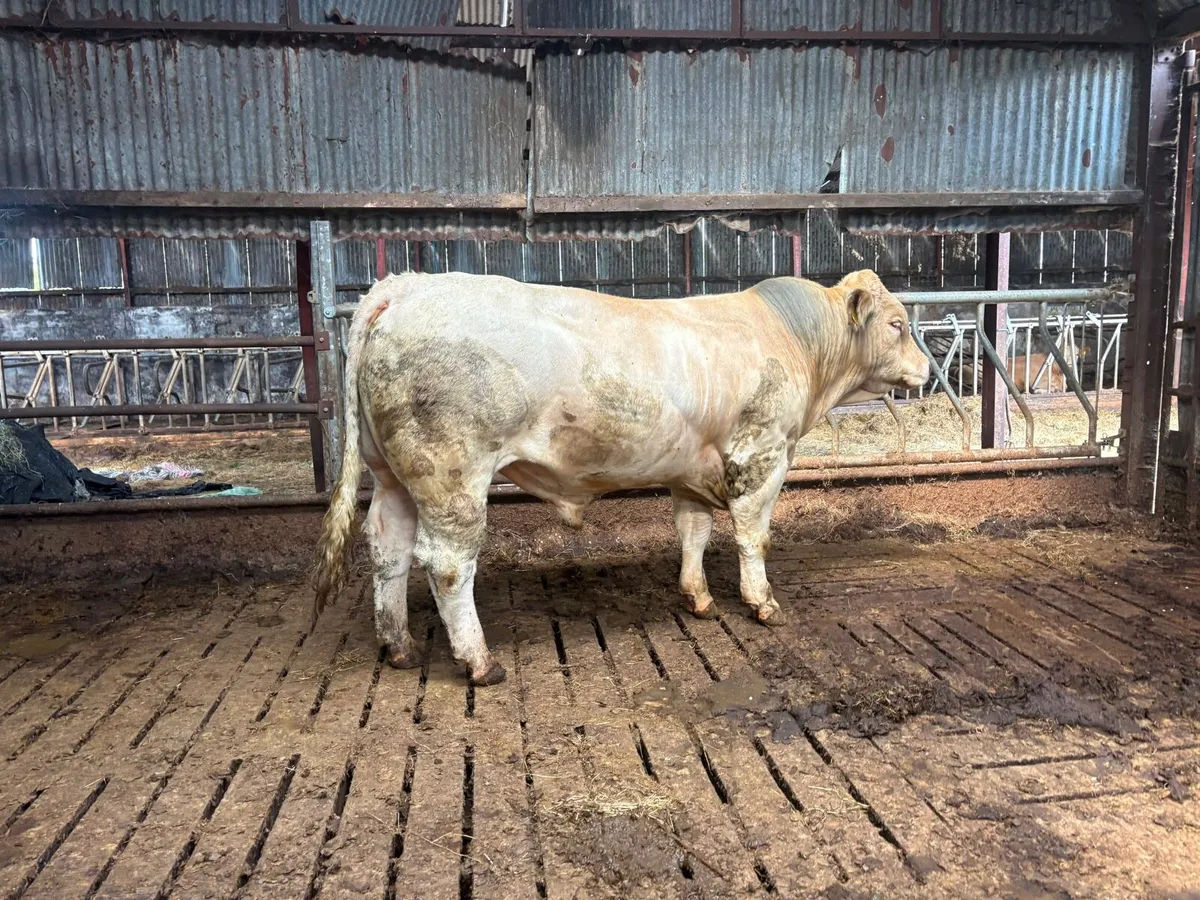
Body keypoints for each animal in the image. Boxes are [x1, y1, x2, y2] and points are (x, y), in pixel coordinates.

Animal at [312, 270, 930, 686]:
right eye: (897, 324)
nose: (926, 368)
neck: (794, 341)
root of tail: (405, 287)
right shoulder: (764, 454)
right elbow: (754, 537)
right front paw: (762, 603)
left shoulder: (691, 469)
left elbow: (693, 534)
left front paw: (699, 597)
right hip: (452, 475)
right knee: (446, 565)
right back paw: (479, 662)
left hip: (393, 474)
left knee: (388, 549)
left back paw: (398, 645)